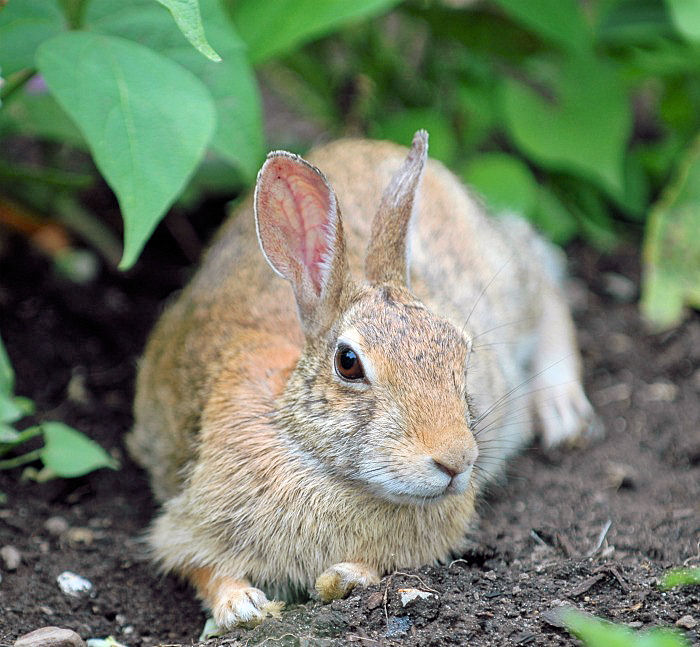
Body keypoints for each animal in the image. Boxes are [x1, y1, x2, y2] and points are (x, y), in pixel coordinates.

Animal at [127, 130, 594, 629]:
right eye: (348, 362)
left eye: (462, 353)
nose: (457, 461)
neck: (318, 462)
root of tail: (367, 144)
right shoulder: (185, 520)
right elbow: (200, 566)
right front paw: (242, 606)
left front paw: (343, 579)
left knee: (545, 282)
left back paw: (562, 409)